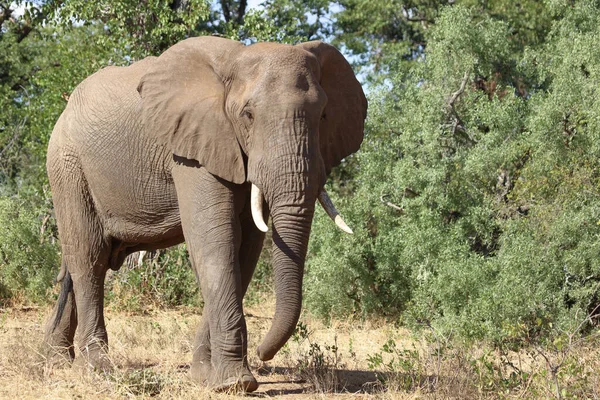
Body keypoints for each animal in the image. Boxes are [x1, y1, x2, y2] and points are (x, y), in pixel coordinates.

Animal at [43, 36, 366, 392]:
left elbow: (245, 247)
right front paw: (235, 384)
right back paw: (95, 368)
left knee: (79, 263)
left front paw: (205, 375)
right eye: (248, 115)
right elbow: (215, 241)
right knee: (90, 257)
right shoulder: (192, 145)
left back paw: (55, 360)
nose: (264, 353)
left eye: (323, 115)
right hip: (67, 165)